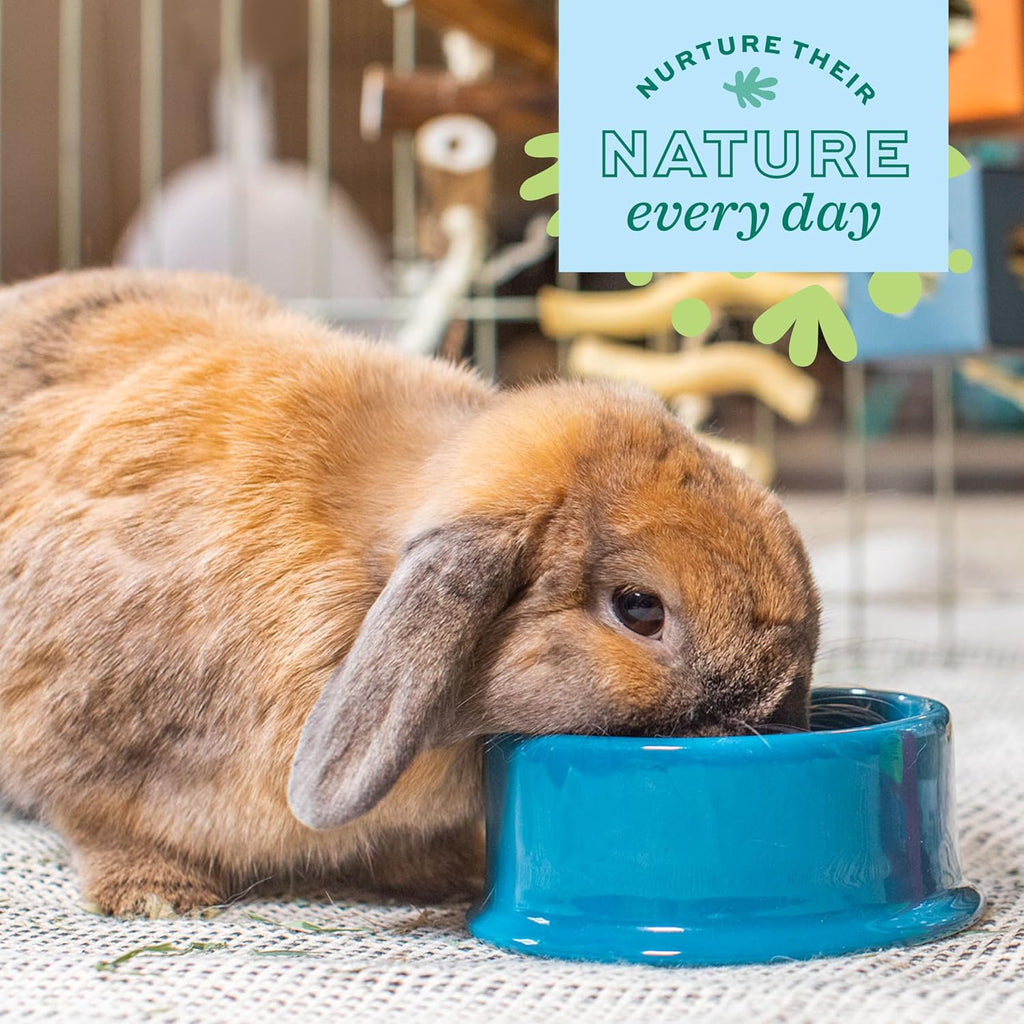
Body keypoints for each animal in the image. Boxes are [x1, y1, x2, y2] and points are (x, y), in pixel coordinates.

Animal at [0, 268, 820, 917]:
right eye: (639, 608)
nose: (780, 699)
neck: (364, 580)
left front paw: (457, 875)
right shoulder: (80, 742)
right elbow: (98, 821)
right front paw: (155, 895)